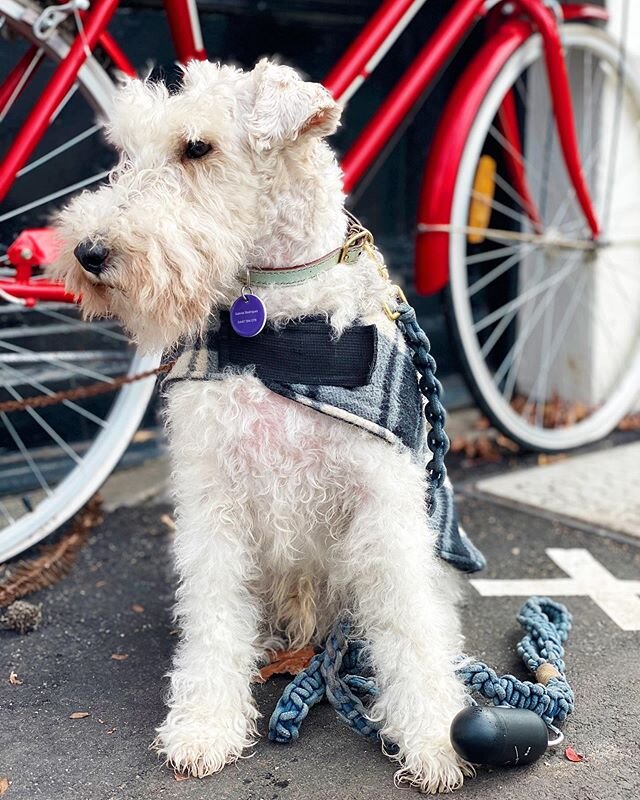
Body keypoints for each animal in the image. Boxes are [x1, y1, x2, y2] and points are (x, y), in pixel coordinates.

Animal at [55, 59, 472, 792]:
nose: (89, 252)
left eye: (197, 147)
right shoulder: (213, 499)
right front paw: (204, 726)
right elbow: (215, 619)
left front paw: (436, 736)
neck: (278, 319)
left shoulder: (385, 505)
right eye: (127, 150)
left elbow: (409, 624)